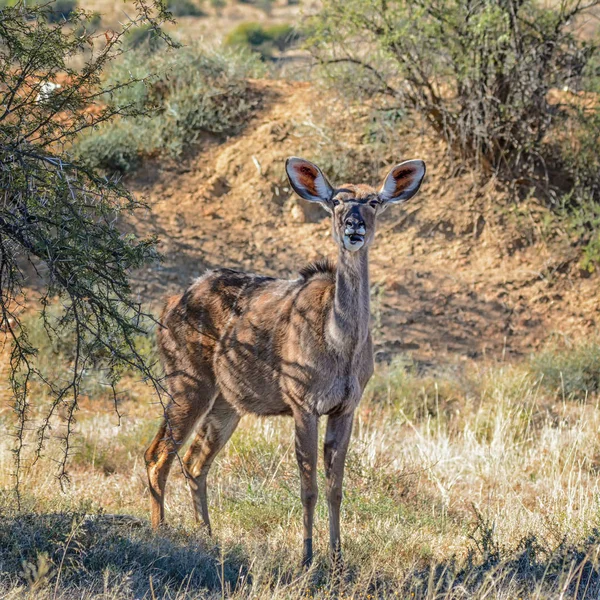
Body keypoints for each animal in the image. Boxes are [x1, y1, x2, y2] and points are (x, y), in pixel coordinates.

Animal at [145, 157, 426, 564]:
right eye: (336, 201)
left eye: (373, 201)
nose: (353, 227)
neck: (339, 342)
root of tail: (171, 305)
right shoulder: (303, 405)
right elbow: (308, 487)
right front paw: (307, 557)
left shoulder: (345, 409)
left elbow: (335, 487)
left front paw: (337, 557)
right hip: (188, 386)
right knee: (158, 455)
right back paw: (160, 533)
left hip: (225, 404)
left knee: (196, 462)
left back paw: (207, 537)